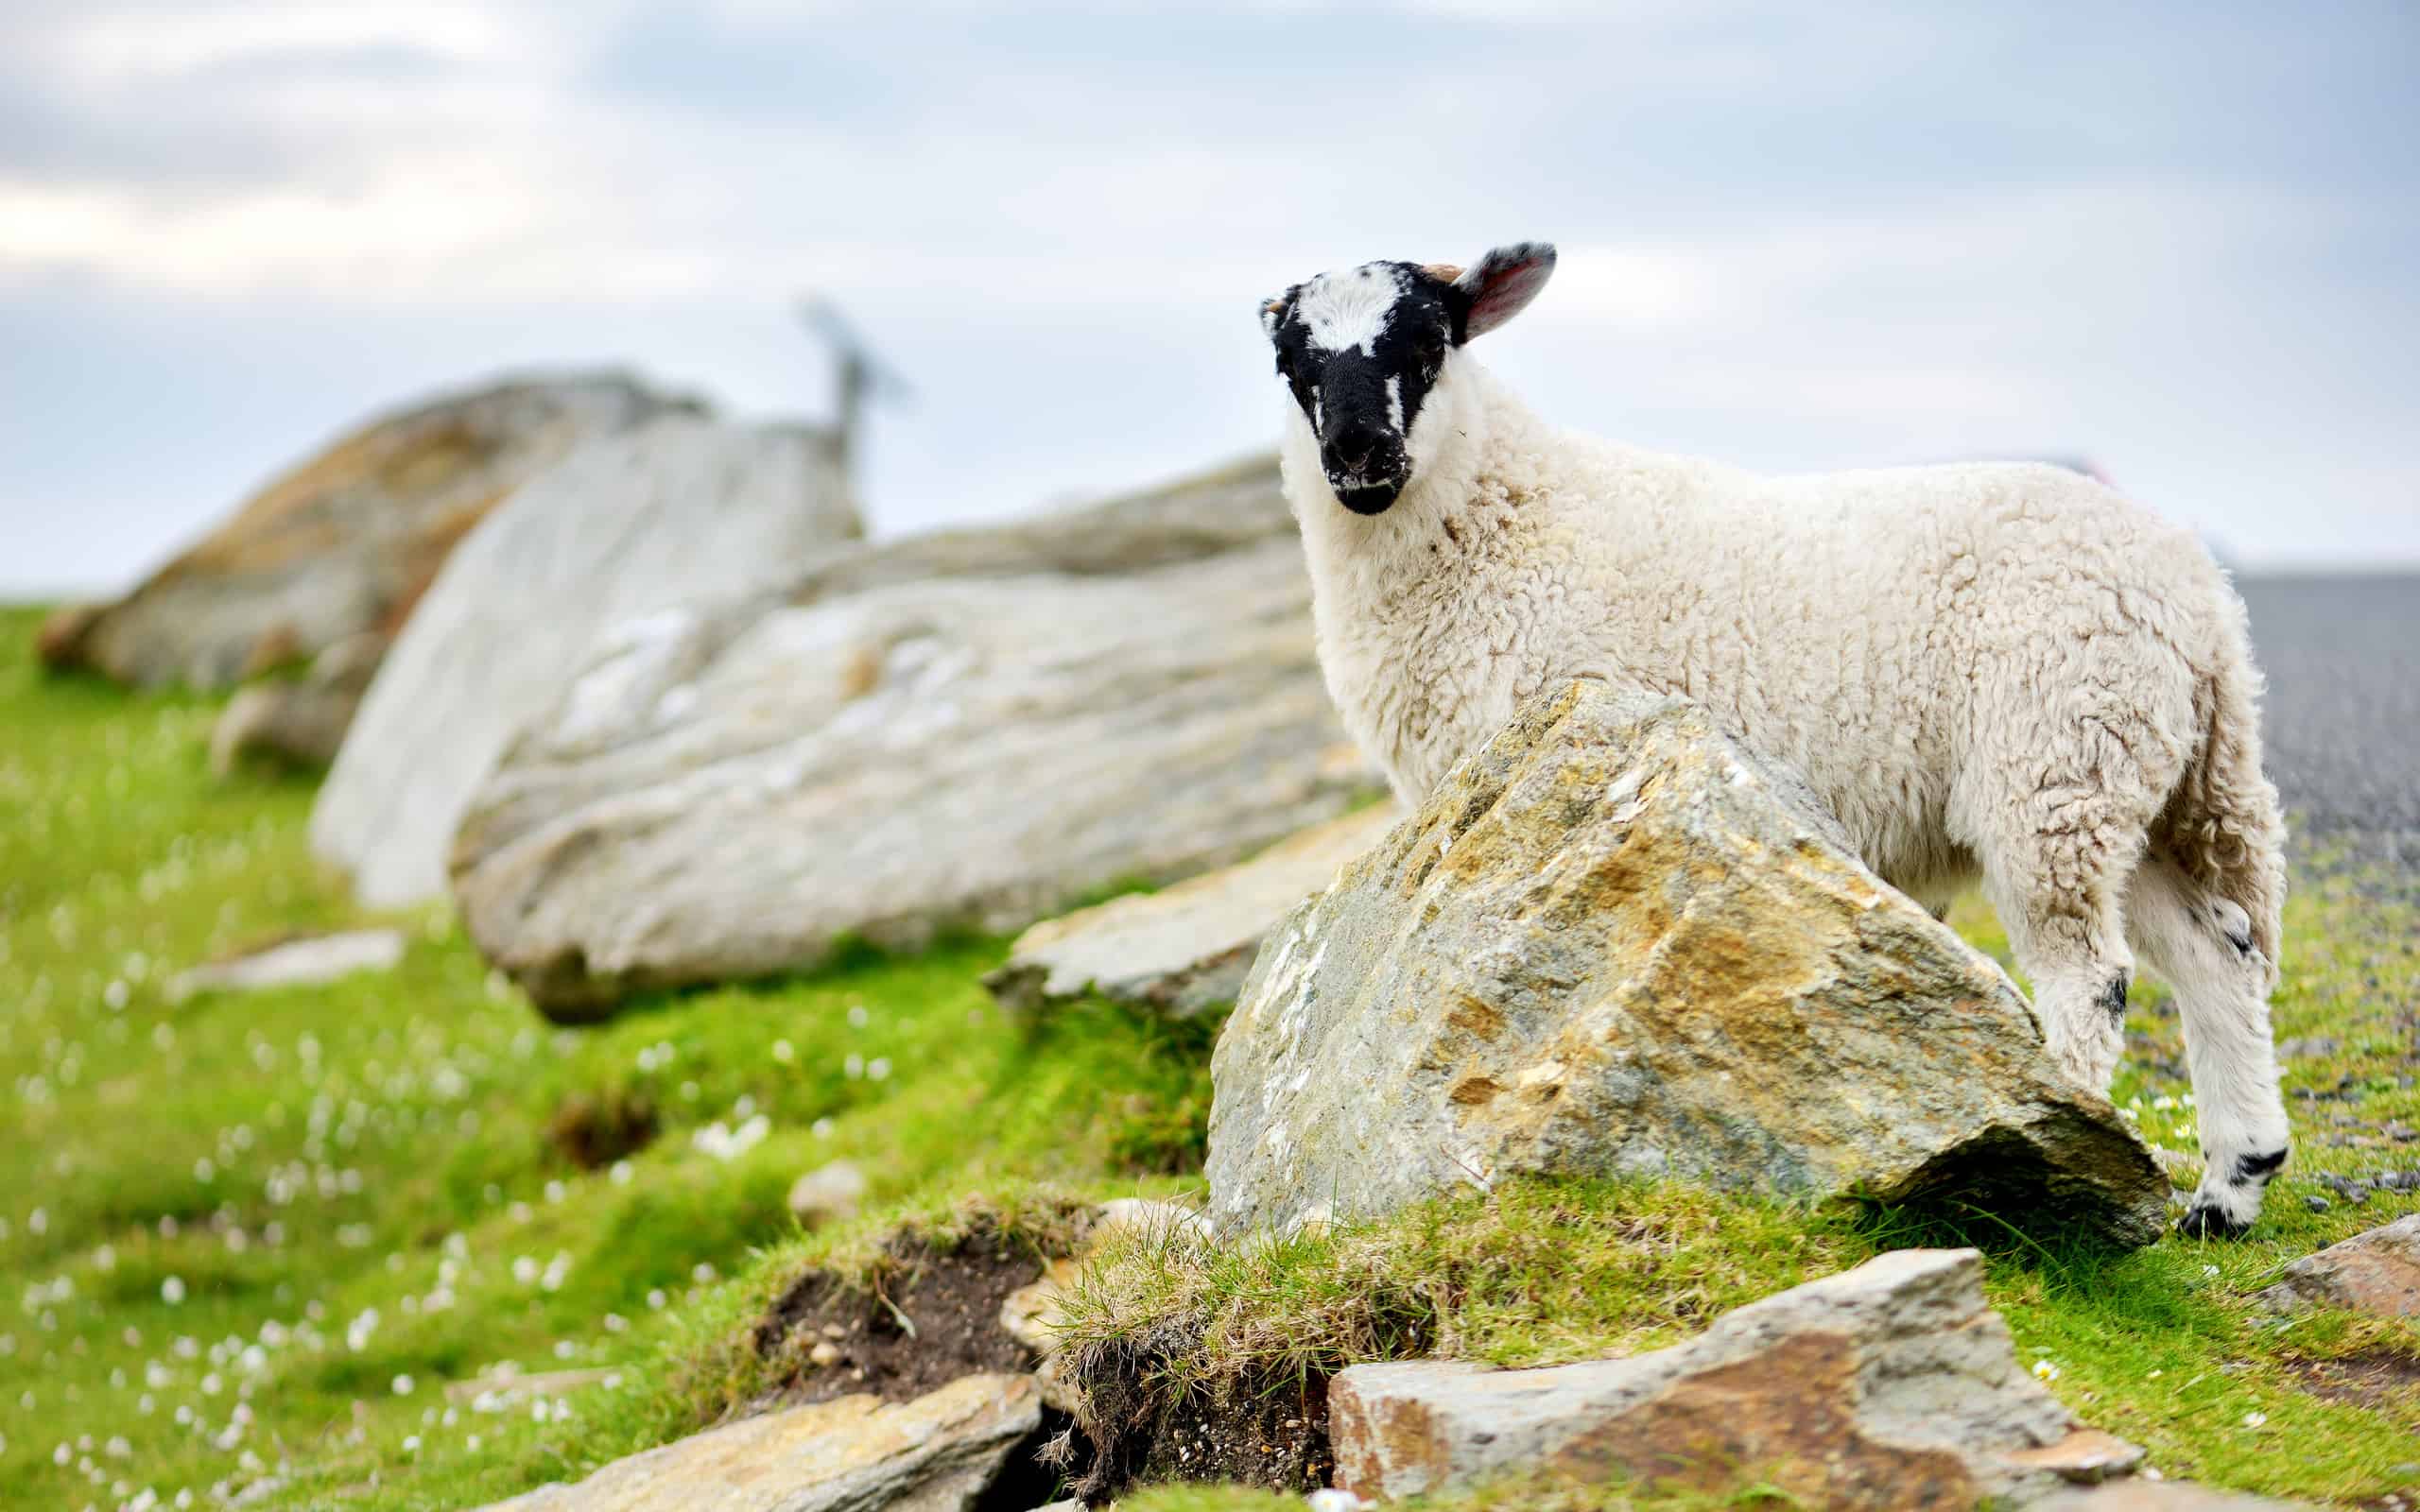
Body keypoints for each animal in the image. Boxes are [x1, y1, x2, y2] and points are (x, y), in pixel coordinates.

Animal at [1258, 242, 2293, 1233]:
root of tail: (2197, 592)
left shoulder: (1533, 779)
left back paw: (2069, 1147)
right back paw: (2229, 1191)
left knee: (2091, 975)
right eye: (1289, 361)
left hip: (2051, 763)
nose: (1357, 453)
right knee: (2220, 950)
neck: (1503, 519)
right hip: (2139, 773)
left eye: (1429, 340)